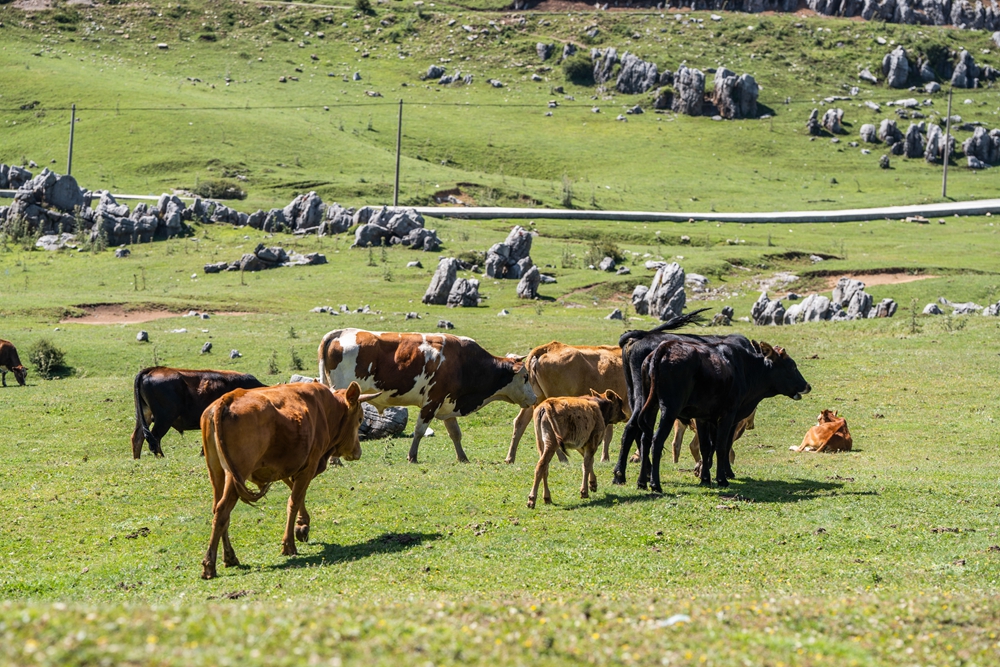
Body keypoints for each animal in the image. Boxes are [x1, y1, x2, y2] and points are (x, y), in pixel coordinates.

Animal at [132, 366, 266, 460]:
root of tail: (154, 369)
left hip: (145, 415)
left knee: (137, 437)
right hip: (164, 418)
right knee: (155, 437)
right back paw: (161, 457)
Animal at [199, 380, 378, 580]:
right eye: (360, 419)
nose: (358, 452)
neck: (327, 409)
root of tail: (227, 398)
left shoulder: (286, 467)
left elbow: (296, 494)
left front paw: (303, 524)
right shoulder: (310, 464)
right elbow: (294, 500)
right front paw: (289, 543)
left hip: (217, 472)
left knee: (219, 510)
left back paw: (230, 557)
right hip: (237, 474)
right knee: (223, 510)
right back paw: (209, 564)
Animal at [320, 328, 540, 464]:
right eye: (526, 377)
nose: (535, 399)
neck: (465, 364)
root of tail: (341, 333)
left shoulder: (449, 403)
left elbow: (455, 433)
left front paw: (463, 457)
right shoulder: (432, 400)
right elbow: (419, 430)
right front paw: (412, 456)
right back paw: (335, 460)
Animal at [640, 340, 812, 490]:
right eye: (792, 366)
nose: (807, 386)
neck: (746, 369)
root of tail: (665, 348)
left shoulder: (702, 417)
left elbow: (706, 446)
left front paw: (705, 478)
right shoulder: (729, 415)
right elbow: (722, 446)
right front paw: (722, 478)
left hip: (651, 406)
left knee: (645, 439)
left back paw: (642, 481)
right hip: (669, 410)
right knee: (656, 441)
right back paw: (655, 484)